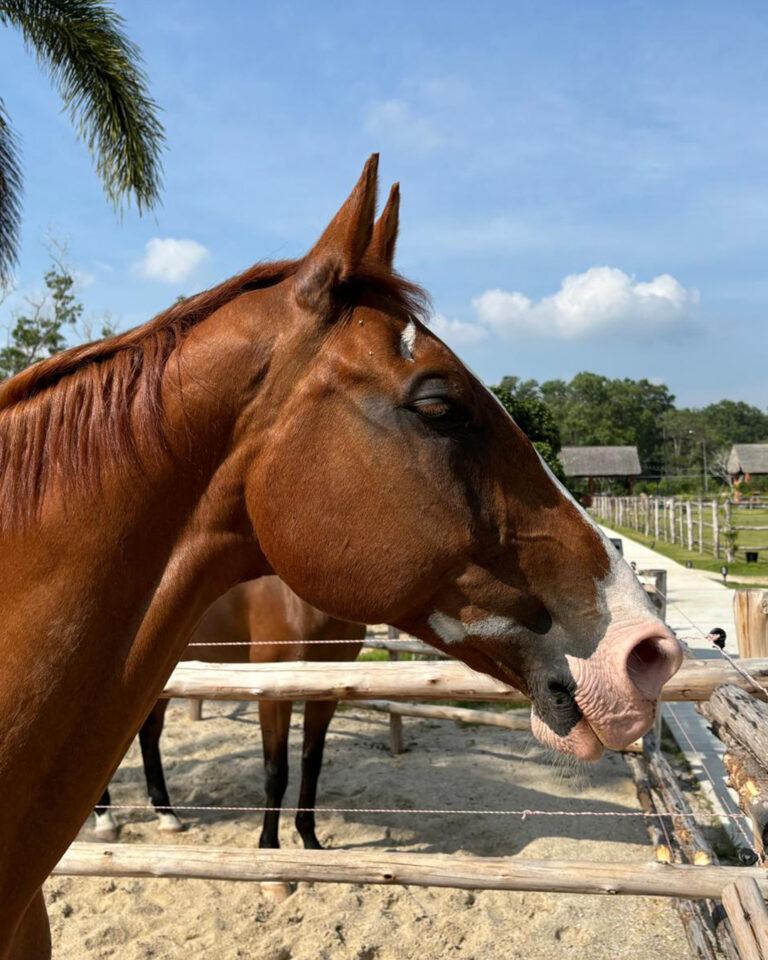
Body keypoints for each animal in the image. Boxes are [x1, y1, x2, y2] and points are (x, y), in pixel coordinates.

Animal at [93, 576, 365, 850]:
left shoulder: (326, 692)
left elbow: (312, 763)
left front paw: (310, 841)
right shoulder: (273, 694)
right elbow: (276, 771)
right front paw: (268, 845)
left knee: (149, 733)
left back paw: (166, 814)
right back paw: (105, 818)